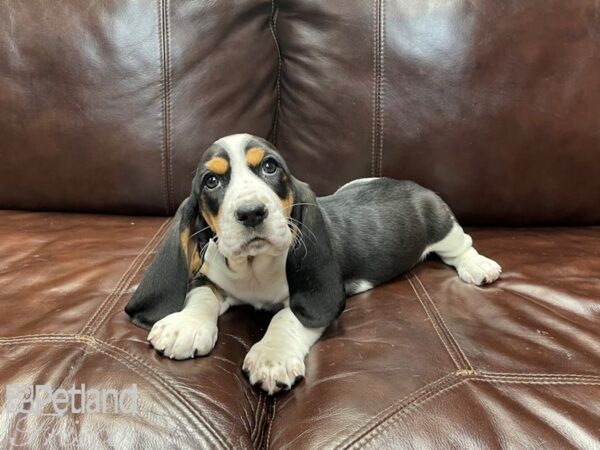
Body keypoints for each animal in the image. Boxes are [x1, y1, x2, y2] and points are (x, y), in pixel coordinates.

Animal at [126, 133, 502, 394]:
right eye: (212, 181)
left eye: (270, 167)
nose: (251, 213)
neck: (254, 266)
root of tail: (412, 184)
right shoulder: (215, 280)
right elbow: (201, 294)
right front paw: (184, 327)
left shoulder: (308, 297)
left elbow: (286, 317)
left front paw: (271, 357)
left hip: (442, 225)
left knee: (461, 245)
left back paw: (478, 267)